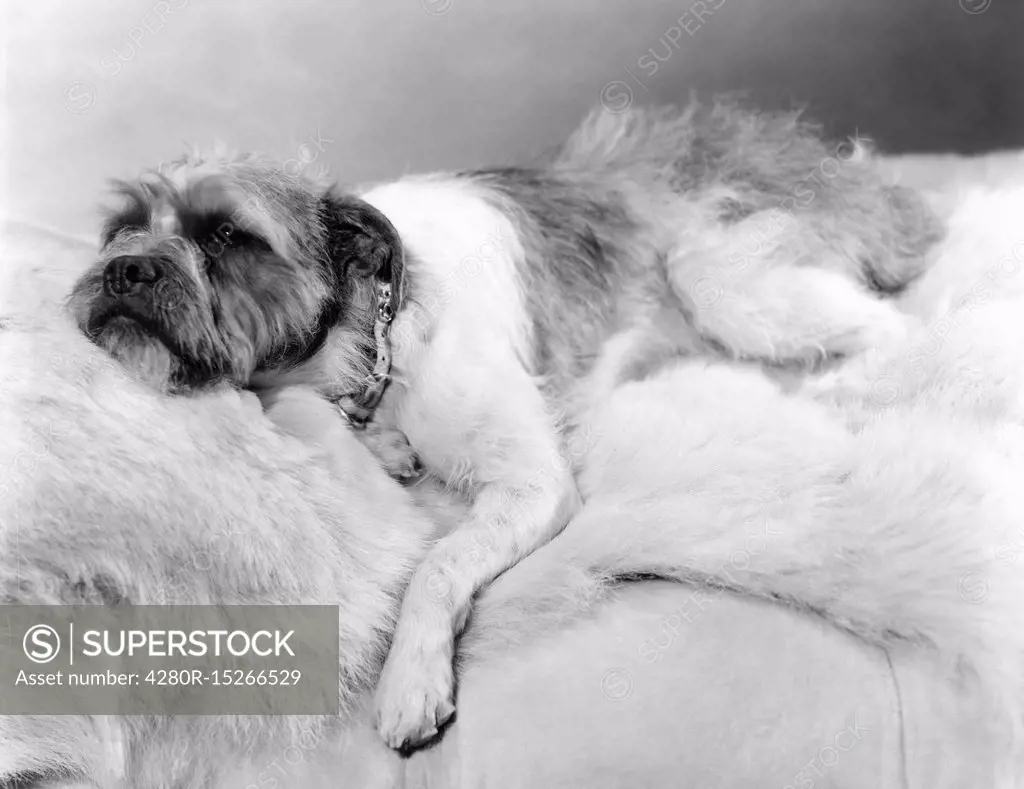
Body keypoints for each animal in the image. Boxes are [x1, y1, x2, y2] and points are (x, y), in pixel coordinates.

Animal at [66, 95, 942, 749]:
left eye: (225, 235)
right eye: (120, 228)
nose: (123, 268)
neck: (376, 329)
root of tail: (843, 167)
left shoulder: (533, 483)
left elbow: (437, 562)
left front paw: (409, 674)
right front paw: (381, 446)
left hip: (721, 277)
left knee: (895, 329)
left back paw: (840, 390)